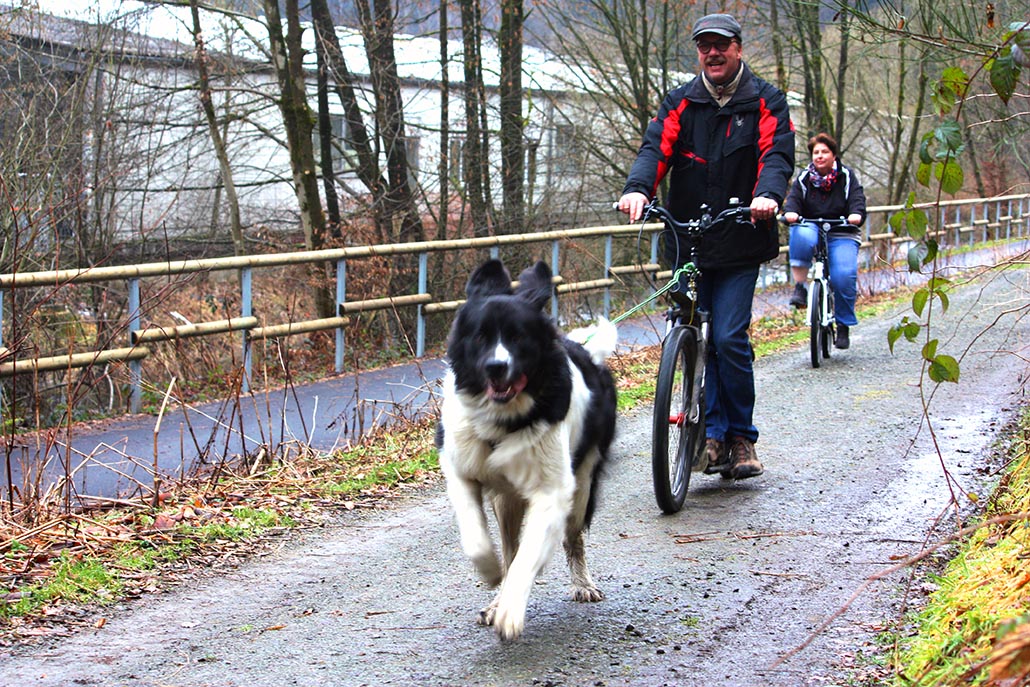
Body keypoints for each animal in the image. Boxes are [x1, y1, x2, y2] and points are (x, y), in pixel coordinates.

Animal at [436, 260, 618, 642]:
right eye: (480, 337)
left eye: (519, 337)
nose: (496, 367)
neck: (504, 420)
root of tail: (586, 351)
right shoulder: (460, 470)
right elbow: (478, 538)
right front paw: (491, 576)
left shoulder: (552, 490)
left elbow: (529, 553)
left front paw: (510, 611)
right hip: (506, 500)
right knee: (509, 546)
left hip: (582, 482)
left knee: (571, 536)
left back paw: (582, 584)